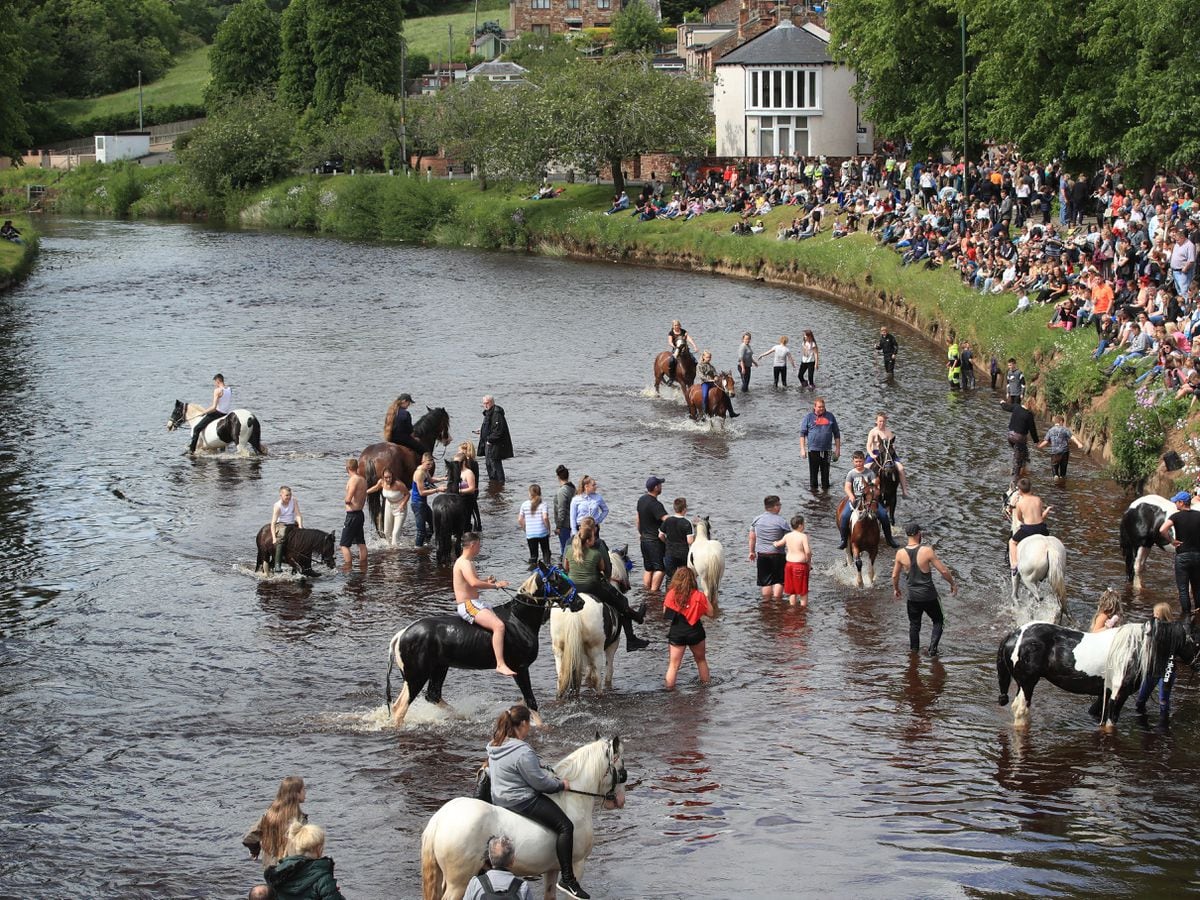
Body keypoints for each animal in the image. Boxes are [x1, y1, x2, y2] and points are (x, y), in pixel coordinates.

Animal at [386, 566, 583, 729]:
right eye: (557, 580)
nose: (580, 602)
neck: (519, 619)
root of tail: (402, 634)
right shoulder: (520, 668)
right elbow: (530, 700)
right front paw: (542, 726)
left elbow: (524, 700)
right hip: (417, 675)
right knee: (400, 708)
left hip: (437, 668)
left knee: (432, 695)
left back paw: (462, 716)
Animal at [420, 734, 628, 900]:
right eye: (622, 768)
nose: (620, 800)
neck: (572, 800)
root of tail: (439, 820)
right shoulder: (577, 864)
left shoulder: (552, 869)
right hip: (458, 883)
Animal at [549, 547, 633, 700]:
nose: (627, 586)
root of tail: (574, 611)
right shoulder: (612, 644)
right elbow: (608, 670)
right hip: (596, 649)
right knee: (597, 678)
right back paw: (600, 694)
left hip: (559, 648)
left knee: (562, 676)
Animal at [993, 619, 1200, 734]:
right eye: (1196, 641)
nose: (1198, 666)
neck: (1135, 648)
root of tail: (1014, 634)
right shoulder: (1118, 694)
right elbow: (1110, 724)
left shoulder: (1105, 693)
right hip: (1028, 683)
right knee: (1021, 710)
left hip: (1023, 684)